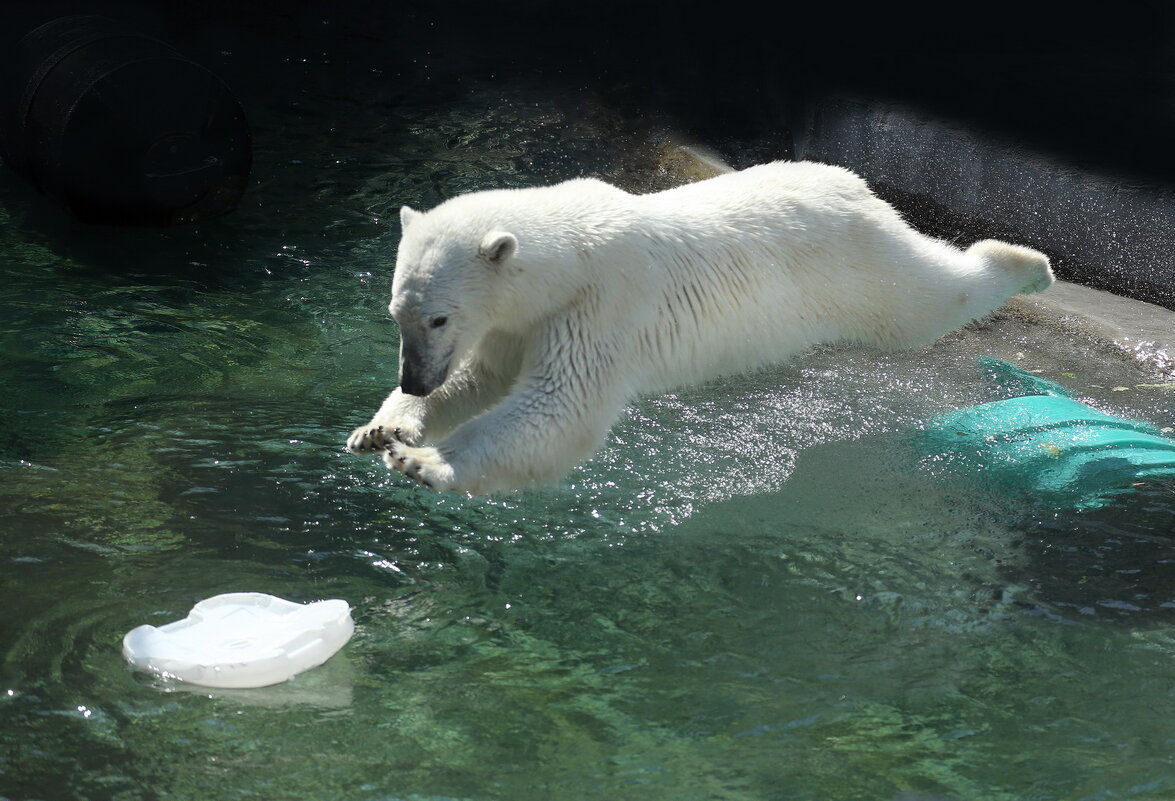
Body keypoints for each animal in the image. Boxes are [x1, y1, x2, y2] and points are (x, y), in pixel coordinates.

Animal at [343, 162, 1052, 493]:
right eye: (398, 316)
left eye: (439, 316)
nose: (414, 376)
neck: (569, 254)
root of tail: (852, 182)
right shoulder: (517, 322)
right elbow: (479, 379)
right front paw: (382, 429)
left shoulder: (603, 306)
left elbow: (561, 409)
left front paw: (422, 462)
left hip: (856, 267)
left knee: (925, 299)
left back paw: (1030, 264)